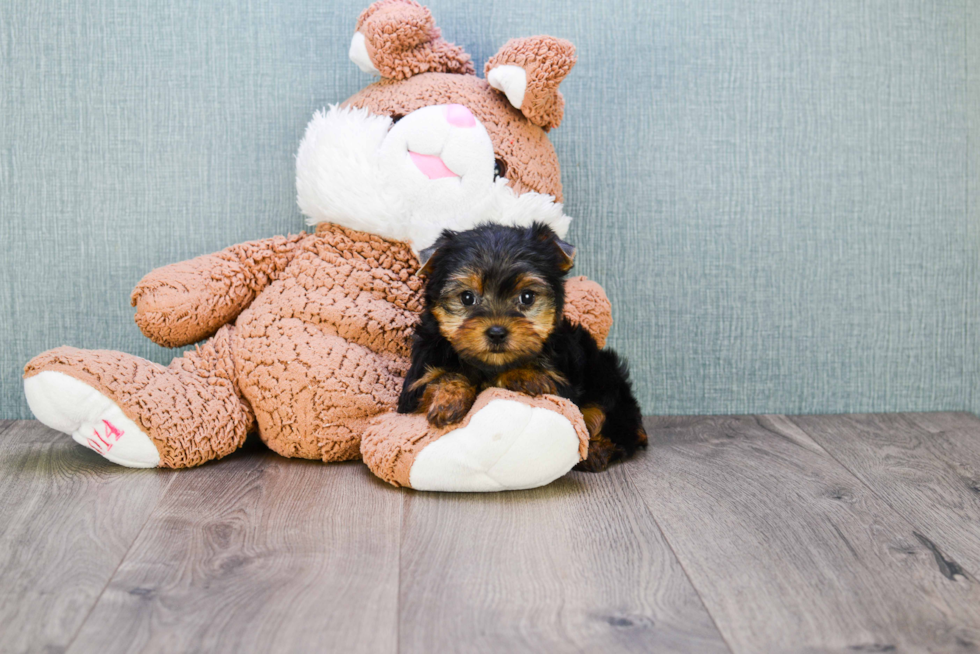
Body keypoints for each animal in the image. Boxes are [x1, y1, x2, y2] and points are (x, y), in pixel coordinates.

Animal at [394, 223, 648, 474]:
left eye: (527, 297)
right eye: (467, 297)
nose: (497, 332)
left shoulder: (561, 383)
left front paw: (526, 375)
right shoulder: (414, 387)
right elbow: (442, 377)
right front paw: (449, 399)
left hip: (605, 380)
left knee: (614, 426)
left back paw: (597, 451)